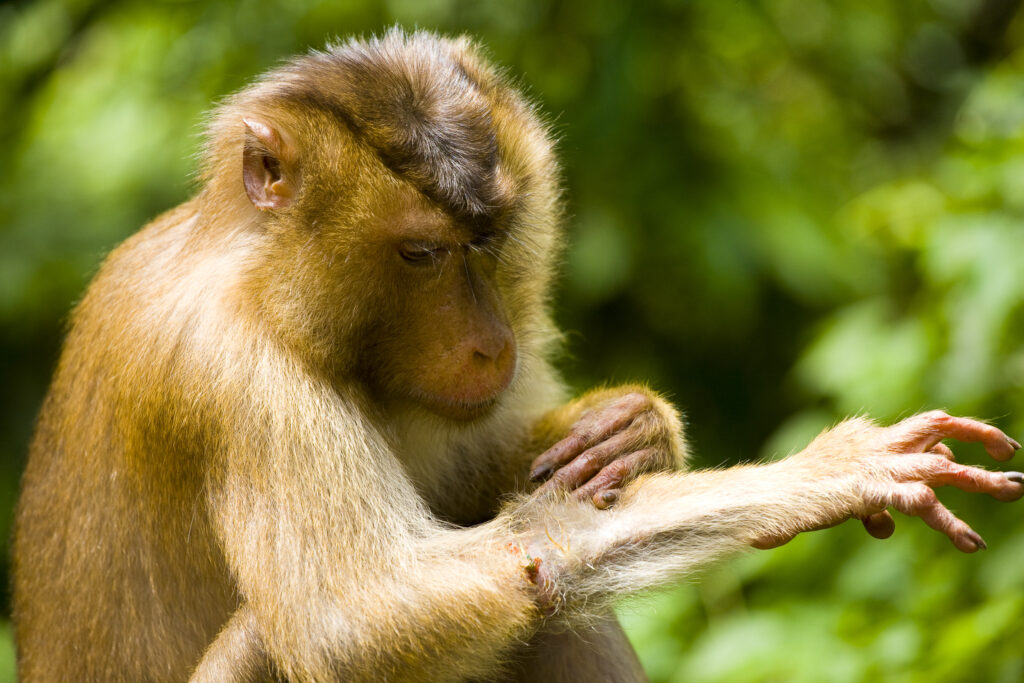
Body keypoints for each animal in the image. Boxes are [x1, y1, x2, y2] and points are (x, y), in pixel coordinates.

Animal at [11, 28, 1023, 683]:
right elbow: (356, 620)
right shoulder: (233, 374)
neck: (257, 273)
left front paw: (634, 428)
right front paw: (817, 476)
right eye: (423, 254)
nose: (491, 342)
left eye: (490, 238)